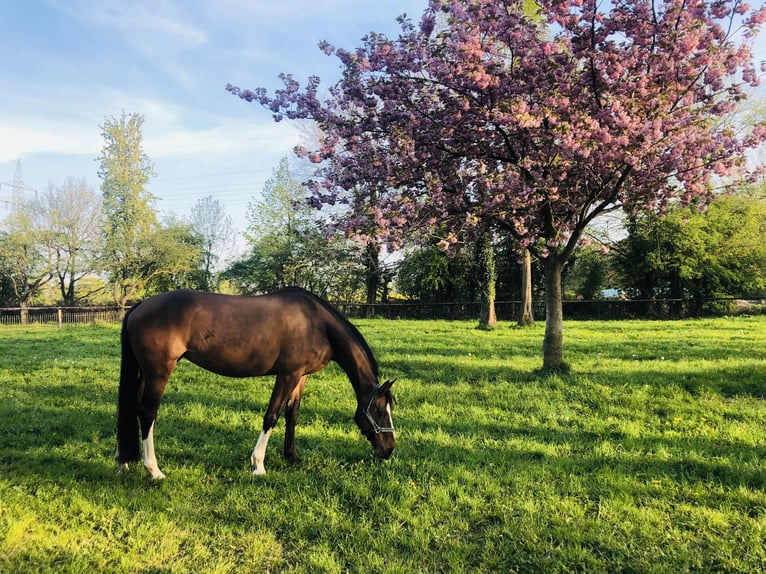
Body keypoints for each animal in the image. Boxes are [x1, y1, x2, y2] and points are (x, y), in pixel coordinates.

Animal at [117, 288, 400, 482]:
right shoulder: (287, 375)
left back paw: (123, 461)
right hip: (158, 373)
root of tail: (140, 306)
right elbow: (271, 416)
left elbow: (292, 415)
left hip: (145, 374)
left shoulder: (301, 377)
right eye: (378, 411)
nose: (389, 449)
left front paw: (292, 457)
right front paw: (259, 465)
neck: (317, 323)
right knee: (147, 413)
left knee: (131, 410)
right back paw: (154, 470)